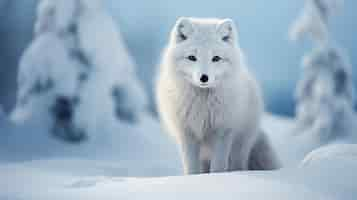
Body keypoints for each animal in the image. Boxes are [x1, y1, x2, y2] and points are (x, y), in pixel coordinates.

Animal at [157, 17, 280, 174]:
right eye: (192, 57)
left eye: (216, 58)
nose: (204, 78)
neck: (202, 106)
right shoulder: (187, 134)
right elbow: (192, 168)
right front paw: (193, 178)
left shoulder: (223, 132)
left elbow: (218, 166)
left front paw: (217, 177)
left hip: (240, 146)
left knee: (237, 165)